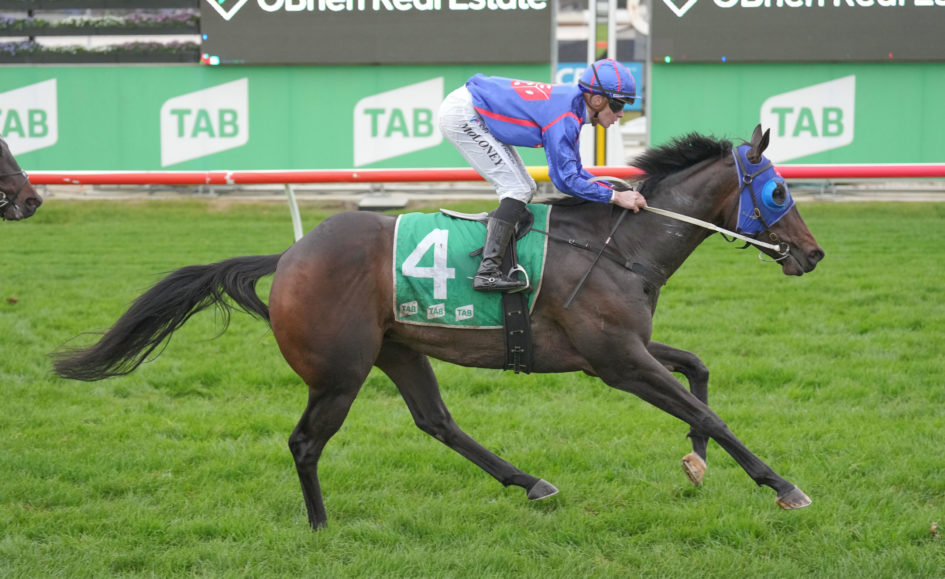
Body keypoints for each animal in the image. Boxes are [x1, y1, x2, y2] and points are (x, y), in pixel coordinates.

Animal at [53, 125, 825, 530]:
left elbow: (697, 370)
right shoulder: (616, 359)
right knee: (306, 441)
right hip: (340, 371)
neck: (616, 245)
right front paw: (781, 484)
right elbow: (706, 407)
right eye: (777, 189)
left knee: (437, 421)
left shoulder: (620, 348)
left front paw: (695, 462)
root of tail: (290, 256)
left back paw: (529, 482)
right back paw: (320, 525)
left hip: (399, 349)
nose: (813, 254)